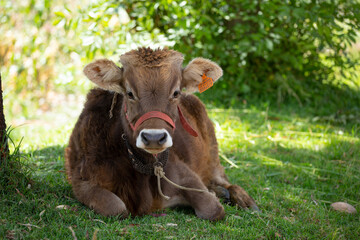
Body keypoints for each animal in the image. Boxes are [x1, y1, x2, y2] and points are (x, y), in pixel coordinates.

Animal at [64, 47, 256, 220]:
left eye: (176, 92)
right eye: (130, 93)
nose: (154, 137)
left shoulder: (187, 176)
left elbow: (213, 210)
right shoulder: (82, 181)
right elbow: (116, 208)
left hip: (213, 151)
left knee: (223, 178)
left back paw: (242, 199)